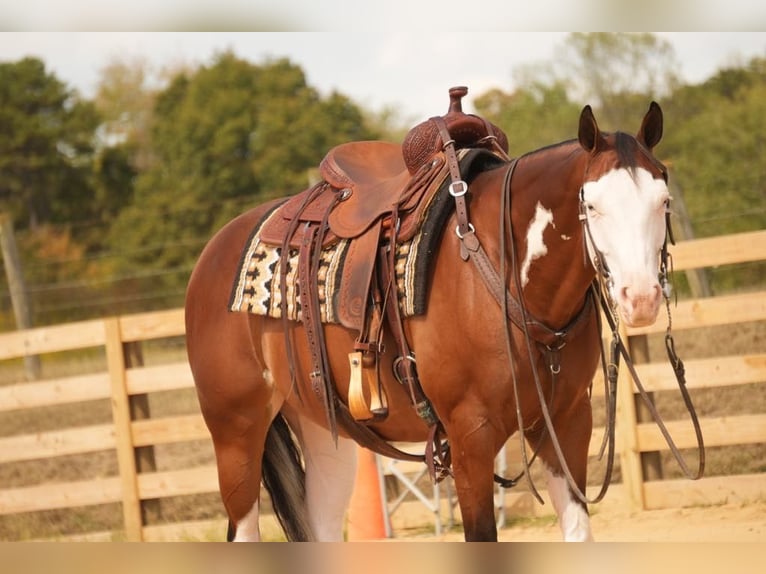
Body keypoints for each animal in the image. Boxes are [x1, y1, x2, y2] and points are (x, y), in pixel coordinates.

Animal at [186, 100, 672, 544]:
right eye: (593, 205)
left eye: (664, 201)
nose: (641, 297)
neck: (502, 267)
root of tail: (212, 253)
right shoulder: (470, 438)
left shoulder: (567, 423)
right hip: (236, 434)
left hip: (322, 429)